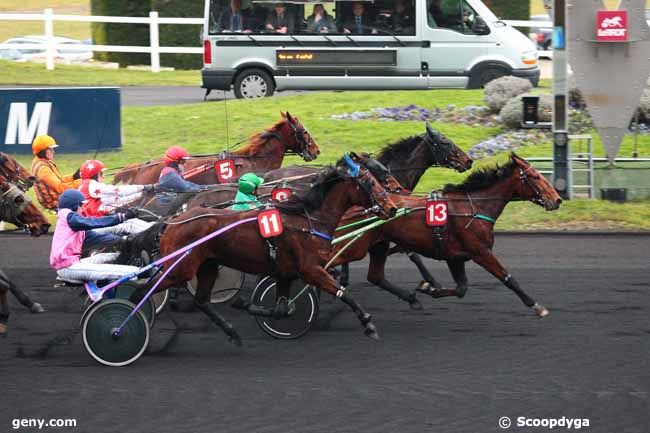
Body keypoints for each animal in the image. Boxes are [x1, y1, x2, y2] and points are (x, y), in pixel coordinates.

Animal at [130, 155, 394, 344]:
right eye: (371, 181)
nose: (391, 207)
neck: (308, 220)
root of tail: (171, 222)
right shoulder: (311, 269)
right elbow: (342, 292)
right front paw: (368, 324)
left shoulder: (286, 272)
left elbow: (281, 310)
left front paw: (246, 305)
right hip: (180, 268)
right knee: (142, 292)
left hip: (207, 266)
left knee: (202, 301)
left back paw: (231, 332)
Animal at [326, 154, 560, 316]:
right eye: (535, 176)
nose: (557, 199)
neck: (473, 207)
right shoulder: (481, 252)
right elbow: (508, 278)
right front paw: (536, 306)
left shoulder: (455, 257)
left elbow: (461, 288)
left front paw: (429, 288)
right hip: (356, 245)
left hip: (378, 244)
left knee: (375, 276)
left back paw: (411, 298)